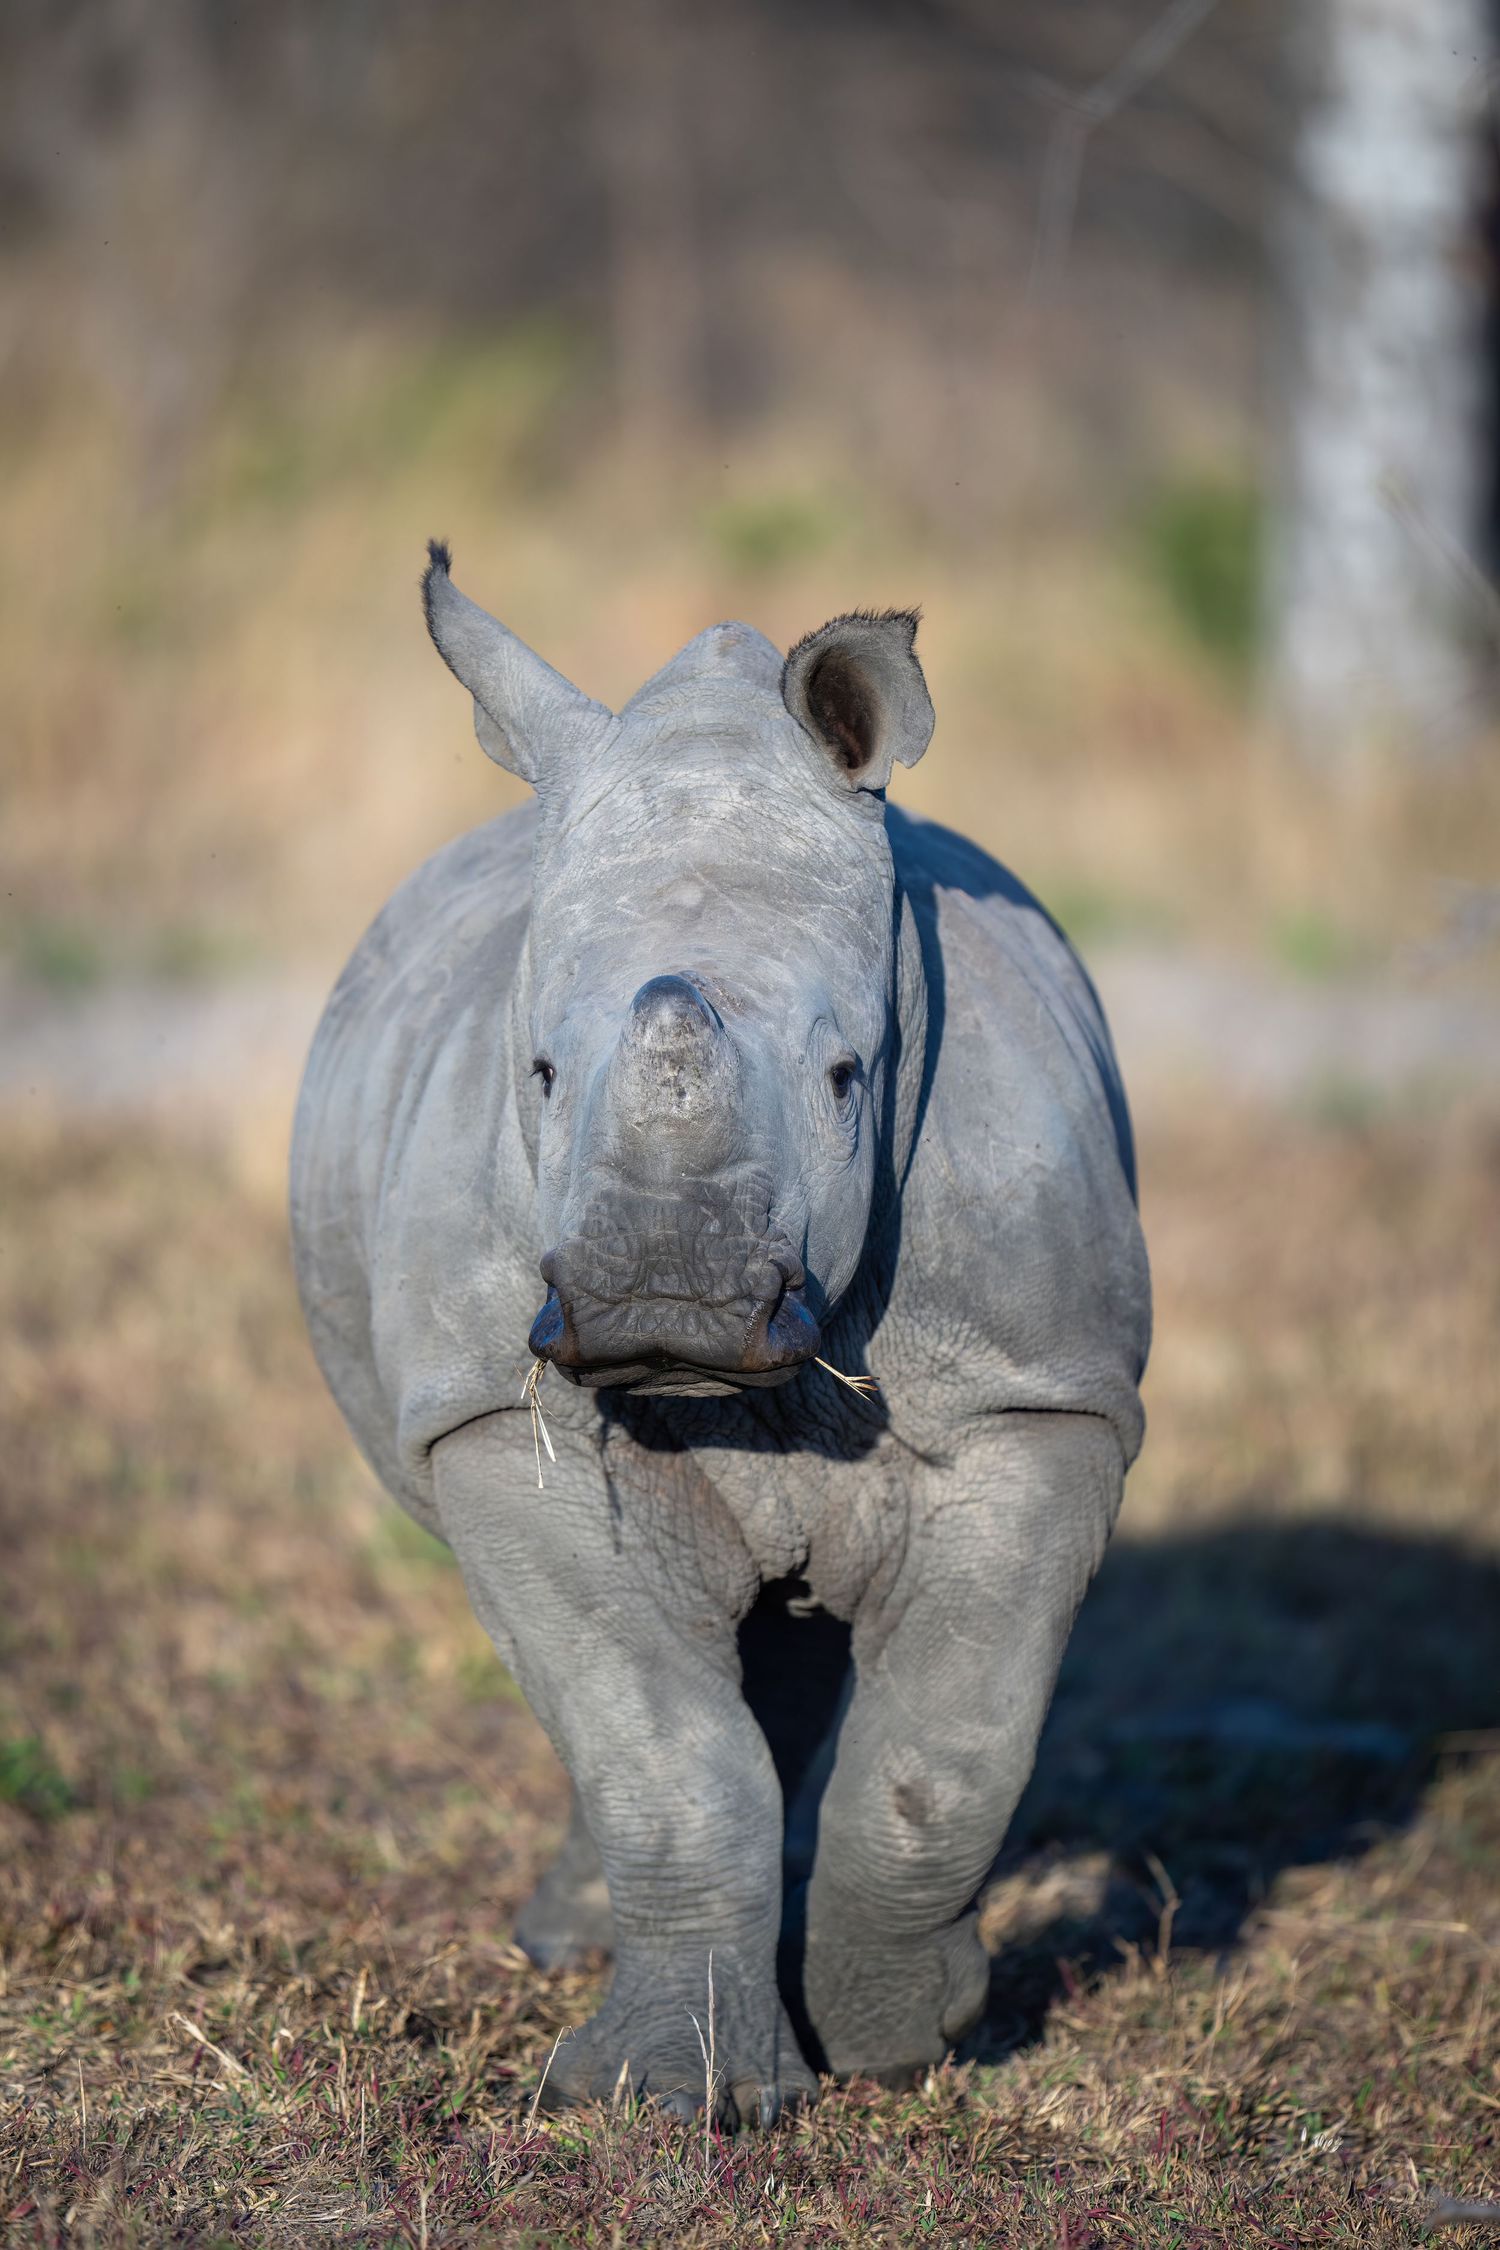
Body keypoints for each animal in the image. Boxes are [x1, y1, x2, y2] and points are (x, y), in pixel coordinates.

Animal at [290, 542, 1150, 2126]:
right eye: (540, 1071)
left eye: (848, 1074)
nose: (663, 1310)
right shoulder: (495, 1416)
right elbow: (658, 1743)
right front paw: (665, 2099)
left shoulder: (1039, 1397)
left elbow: (946, 1747)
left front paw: (897, 2042)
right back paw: (567, 1945)